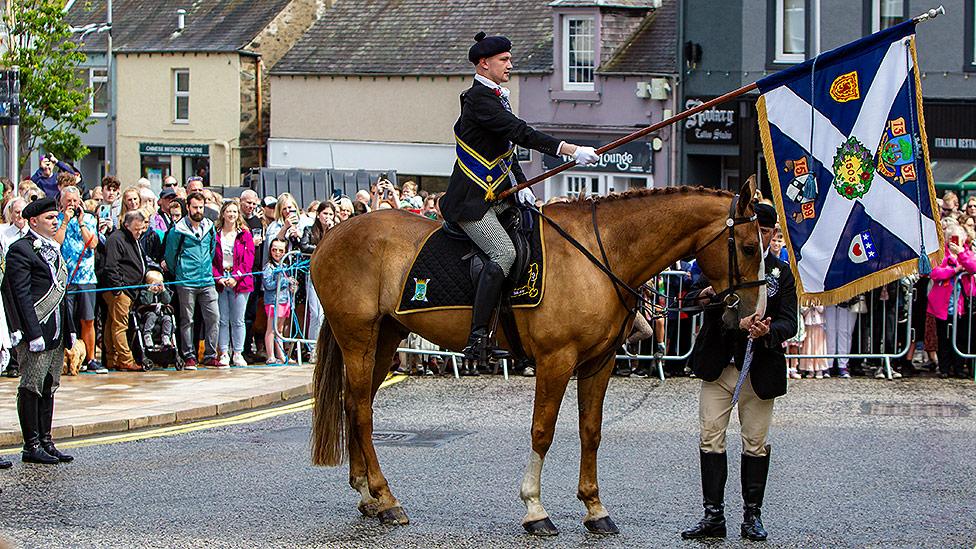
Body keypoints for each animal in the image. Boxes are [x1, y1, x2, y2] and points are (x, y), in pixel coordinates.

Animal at [308, 181, 768, 536]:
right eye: (748, 247)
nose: (753, 315)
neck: (600, 253)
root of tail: (331, 235)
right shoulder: (555, 360)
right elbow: (542, 431)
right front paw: (535, 509)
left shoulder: (599, 363)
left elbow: (591, 431)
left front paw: (595, 508)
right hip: (358, 338)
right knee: (361, 411)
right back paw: (386, 499)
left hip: (385, 338)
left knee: (355, 404)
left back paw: (368, 494)